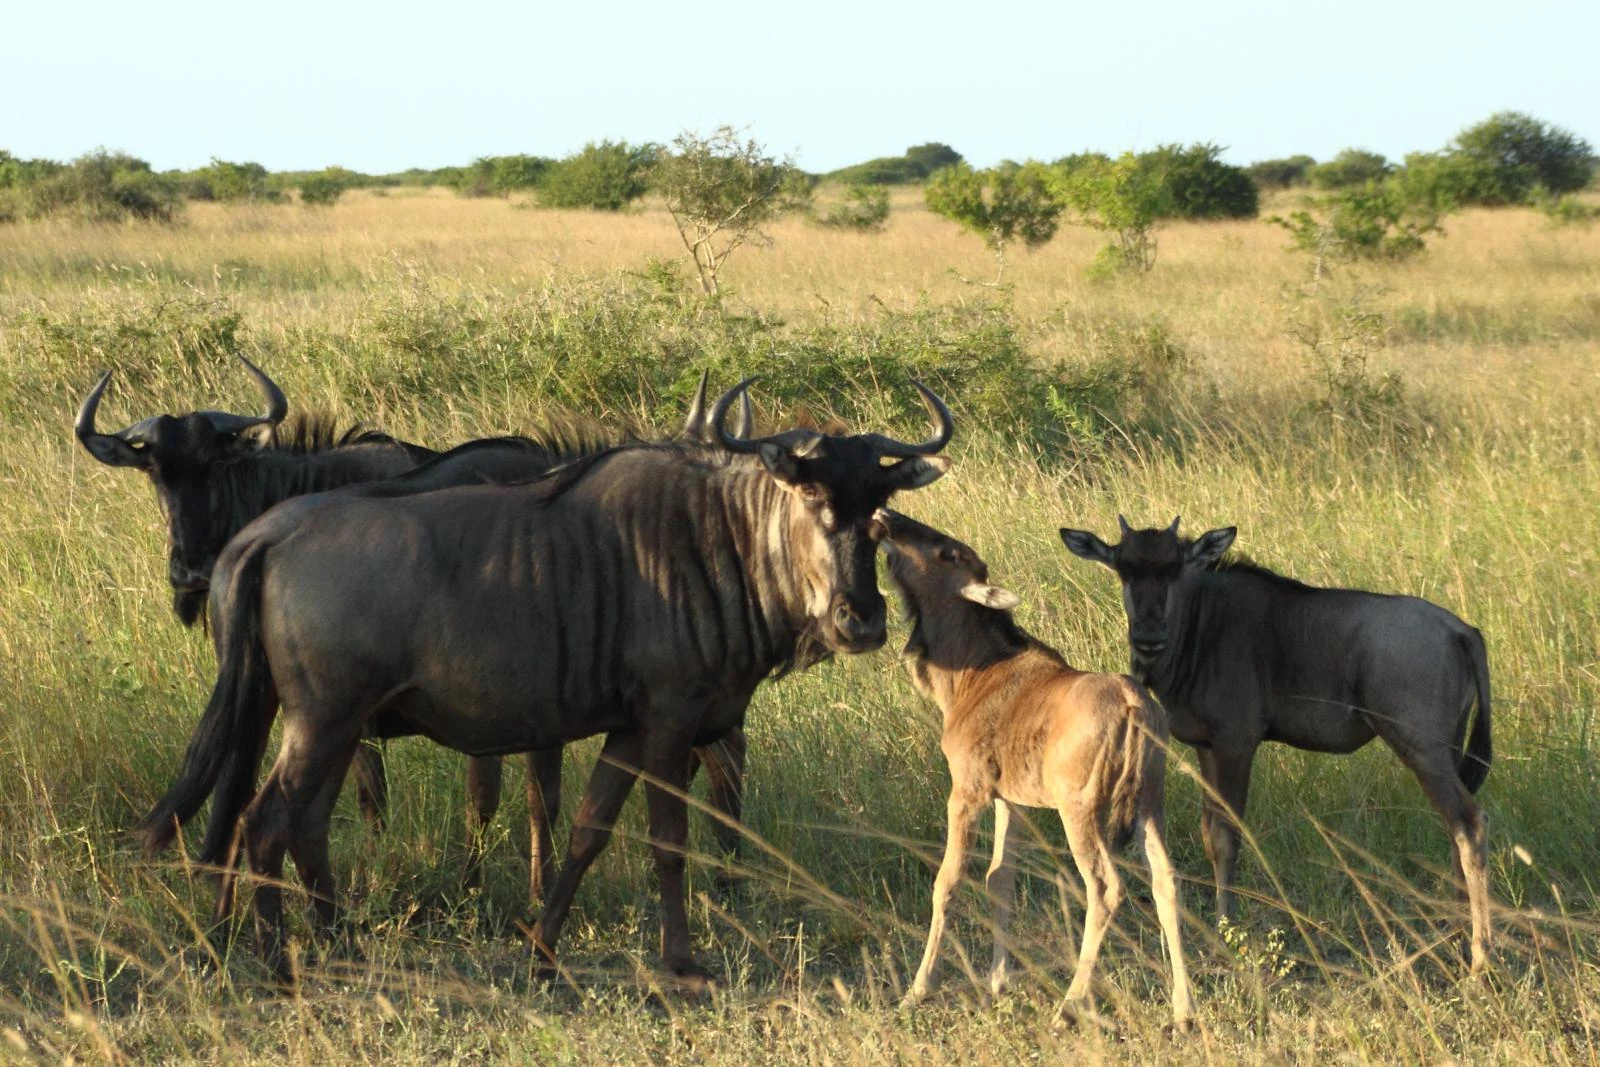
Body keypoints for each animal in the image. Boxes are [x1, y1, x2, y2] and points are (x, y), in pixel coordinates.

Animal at [136, 379, 954, 984]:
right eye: (812, 495)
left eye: (879, 507)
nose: (861, 620)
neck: (715, 537)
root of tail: (266, 533)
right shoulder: (670, 721)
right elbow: (667, 839)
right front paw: (682, 963)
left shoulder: (628, 728)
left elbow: (588, 830)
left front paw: (542, 947)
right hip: (321, 722)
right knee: (264, 821)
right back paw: (279, 964)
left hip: (313, 724)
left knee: (294, 823)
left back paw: (336, 944)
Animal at [878, 510, 1191, 1028]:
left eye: (948, 552)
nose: (886, 517)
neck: (967, 675)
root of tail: (1134, 705)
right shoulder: (1012, 799)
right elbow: (1000, 878)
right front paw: (997, 982)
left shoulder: (967, 790)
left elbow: (949, 882)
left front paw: (917, 990)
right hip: (1152, 801)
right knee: (1166, 881)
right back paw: (1184, 1008)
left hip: (1080, 807)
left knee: (1105, 887)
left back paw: (1070, 1004)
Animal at [1060, 517, 1492, 973]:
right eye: (1124, 568)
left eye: (1174, 568)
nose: (1148, 634)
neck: (1202, 622)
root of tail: (1462, 631)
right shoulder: (1206, 747)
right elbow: (1209, 832)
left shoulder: (1235, 744)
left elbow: (1226, 837)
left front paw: (1226, 929)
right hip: (1447, 753)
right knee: (1454, 826)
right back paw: (1457, 935)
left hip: (1423, 751)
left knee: (1470, 823)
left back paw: (1479, 956)